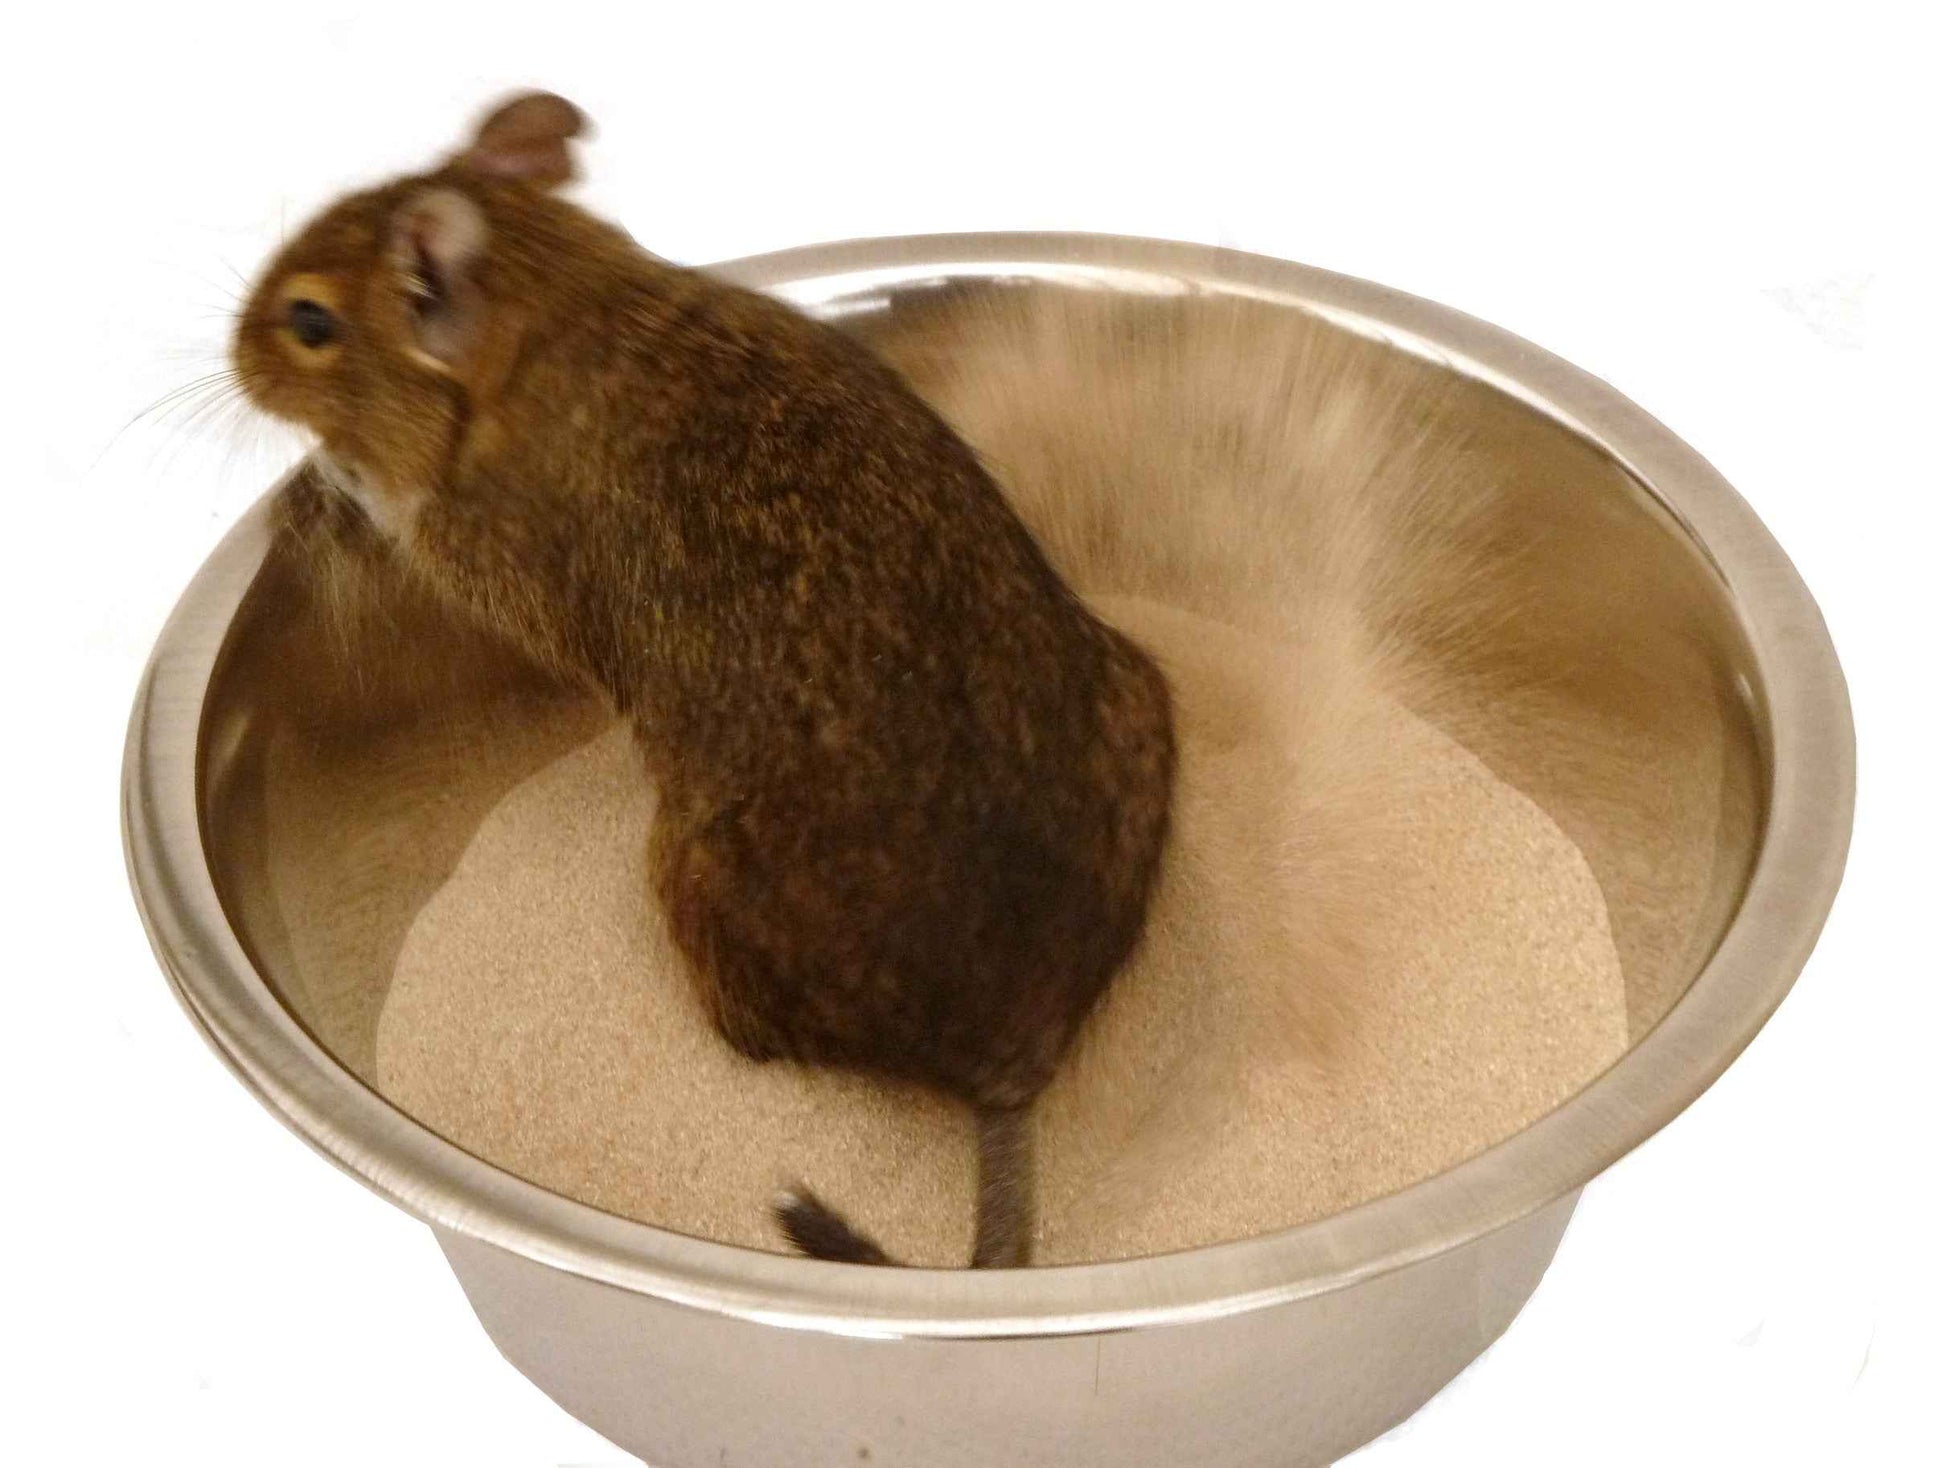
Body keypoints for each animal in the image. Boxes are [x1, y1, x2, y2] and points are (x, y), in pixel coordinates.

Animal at [231, 93, 1176, 1268]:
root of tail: (1009, 1062)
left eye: (309, 323)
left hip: (687, 882)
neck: (561, 299)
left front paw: (332, 479)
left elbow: (394, 511)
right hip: (1141, 694)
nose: (231, 354)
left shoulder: (494, 565)